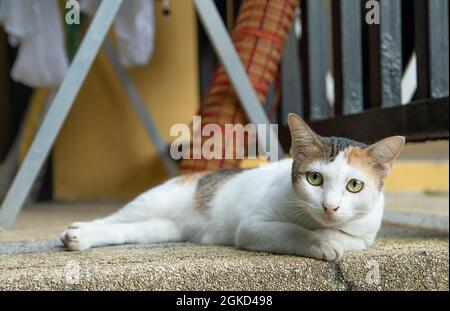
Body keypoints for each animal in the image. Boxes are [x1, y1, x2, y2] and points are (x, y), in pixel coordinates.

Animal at [59, 113, 404, 262]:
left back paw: (83, 238)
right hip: (153, 201)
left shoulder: (365, 235)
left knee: (126, 231)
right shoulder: (252, 226)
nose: (329, 206)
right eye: (315, 178)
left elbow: (348, 238)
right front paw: (320, 242)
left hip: (160, 228)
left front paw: (331, 238)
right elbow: (294, 232)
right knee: (112, 219)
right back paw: (78, 231)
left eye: (354, 185)